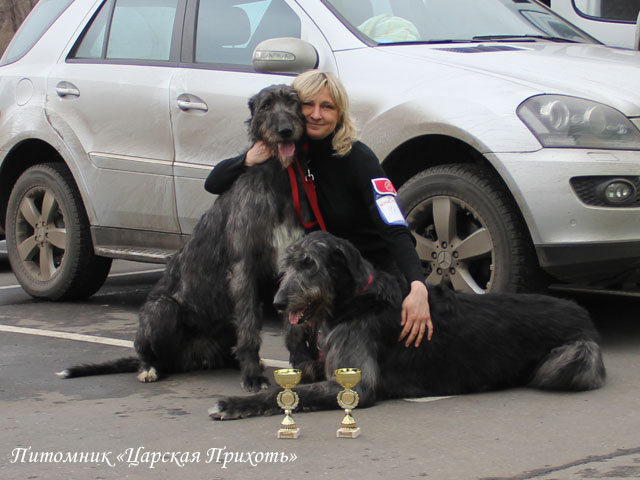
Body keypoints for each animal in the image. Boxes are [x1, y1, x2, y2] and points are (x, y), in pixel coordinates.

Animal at [59, 84, 308, 392]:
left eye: (292, 101)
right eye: (266, 106)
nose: (286, 130)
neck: (275, 176)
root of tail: (186, 358)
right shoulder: (243, 266)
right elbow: (250, 327)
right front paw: (252, 377)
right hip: (162, 309)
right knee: (149, 351)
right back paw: (149, 368)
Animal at [209, 231, 604, 418]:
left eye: (309, 264)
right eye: (288, 264)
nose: (277, 303)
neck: (355, 301)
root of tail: (583, 314)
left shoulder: (355, 385)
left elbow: (290, 394)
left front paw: (229, 404)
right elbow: (289, 384)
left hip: (573, 357)